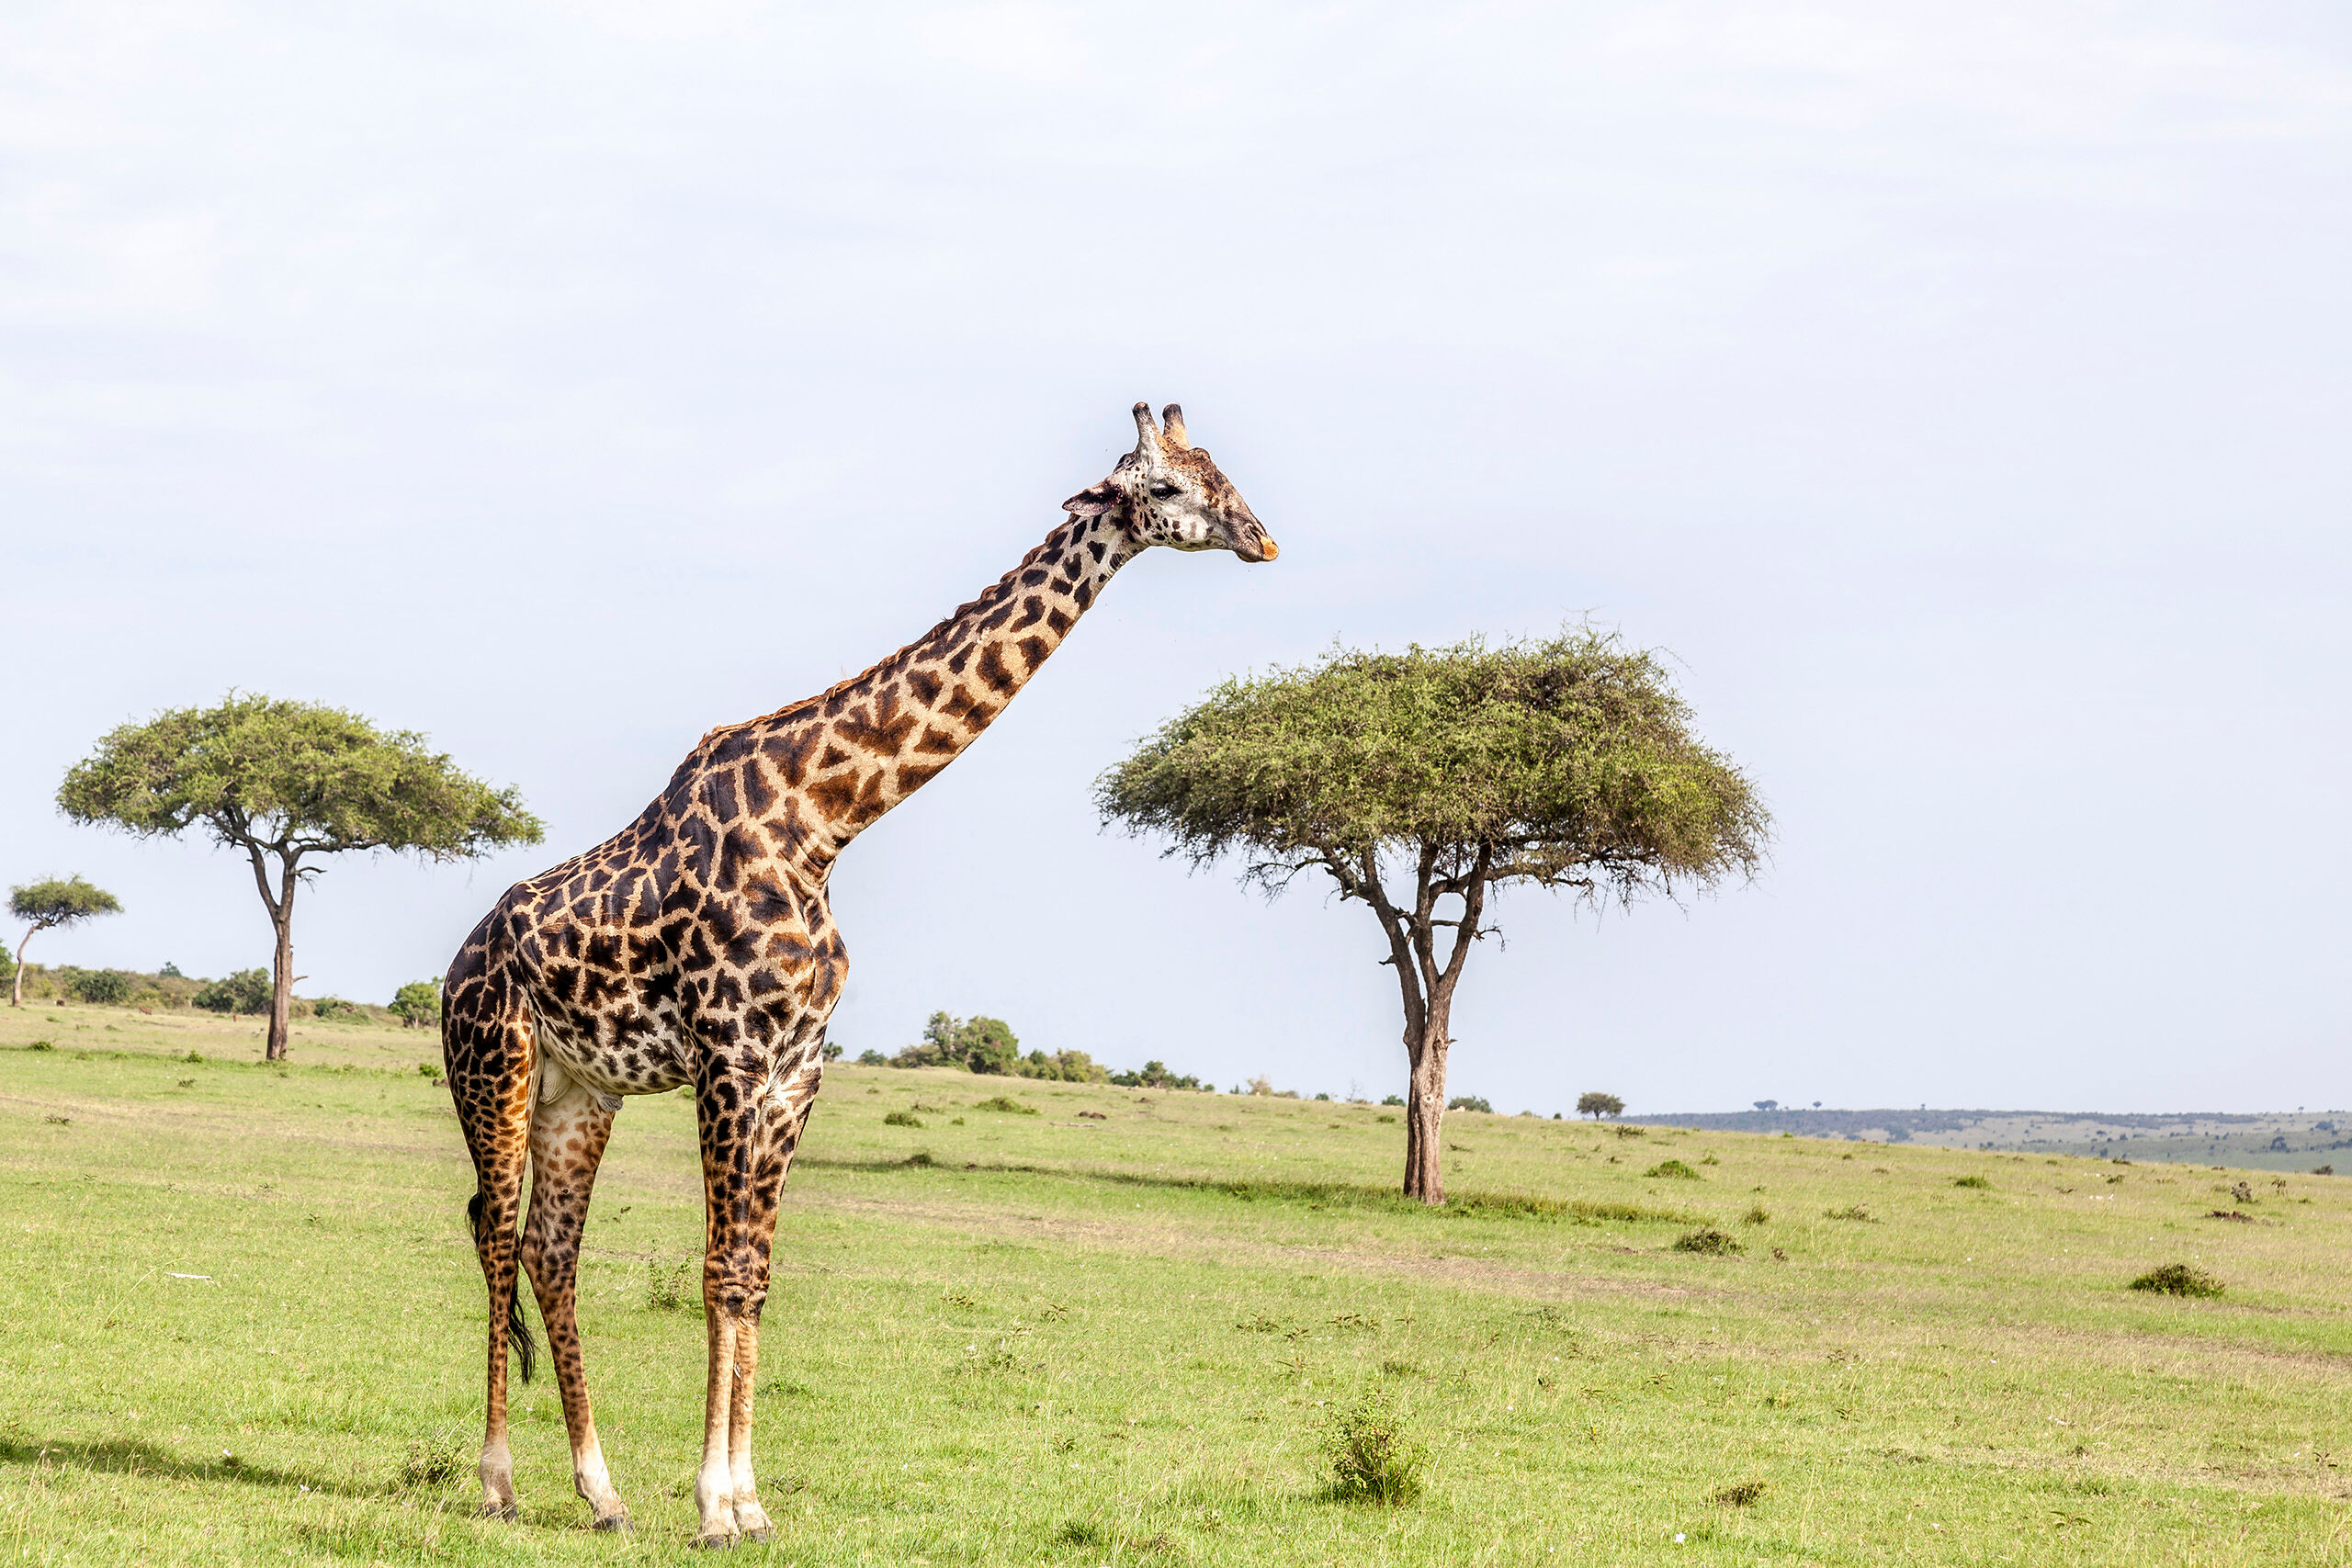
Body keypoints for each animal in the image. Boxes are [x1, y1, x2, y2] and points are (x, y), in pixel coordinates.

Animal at [441, 402, 1274, 1545]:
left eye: (1219, 468)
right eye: (1170, 488)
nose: (1262, 539)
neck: (825, 821)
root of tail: (454, 967)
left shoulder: (799, 1068)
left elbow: (753, 1275)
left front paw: (747, 1503)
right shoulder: (731, 1060)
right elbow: (719, 1271)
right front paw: (713, 1505)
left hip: (583, 1091)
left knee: (549, 1250)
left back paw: (600, 1492)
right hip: (499, 1068)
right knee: (496, 1230)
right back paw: (497, 1482)